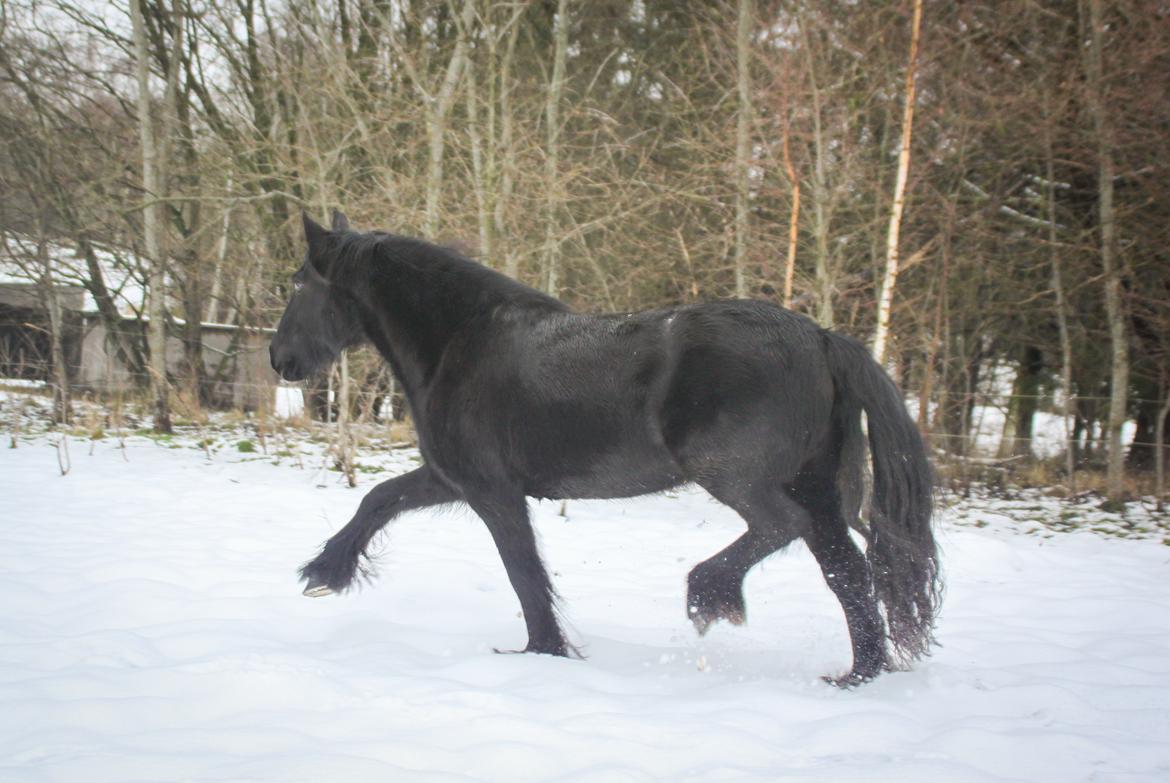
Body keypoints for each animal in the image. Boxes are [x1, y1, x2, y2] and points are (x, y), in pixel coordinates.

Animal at [269, 211, 940, 686]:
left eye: (299, 283)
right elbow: (379, 500)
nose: (280, 359)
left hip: (737, 477)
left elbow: (524, 573)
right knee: (848, 573)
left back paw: (709, 595)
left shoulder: (492, 491)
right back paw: (856, 677)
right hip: (816, 487)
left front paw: (543, 652)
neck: (462, 342)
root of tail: (822, 338)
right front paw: (324, 572)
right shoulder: (451, 477)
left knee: (782, 528)